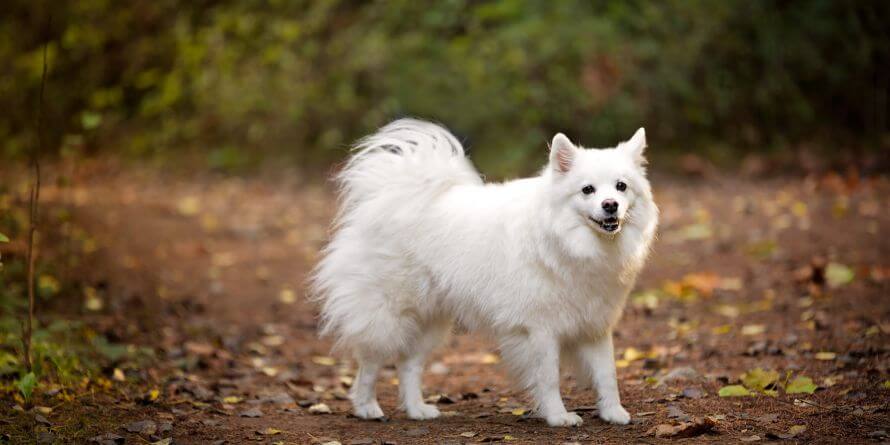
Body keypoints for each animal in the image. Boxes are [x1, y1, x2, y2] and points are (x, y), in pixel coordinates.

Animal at [308, 119, 656, 426]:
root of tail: (388, 196)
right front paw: (558, 417)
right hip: (389, 314)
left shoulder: (595, 325)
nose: (610, 205)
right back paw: (367, 407)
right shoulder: (539, 330)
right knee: (370, 362)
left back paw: (417, 410)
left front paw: (614, 413)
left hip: (431, 321)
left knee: (409, 365)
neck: (570, 242)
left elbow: (607, 374)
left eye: (621, 187)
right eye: (587, 190)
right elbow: (548, 377)